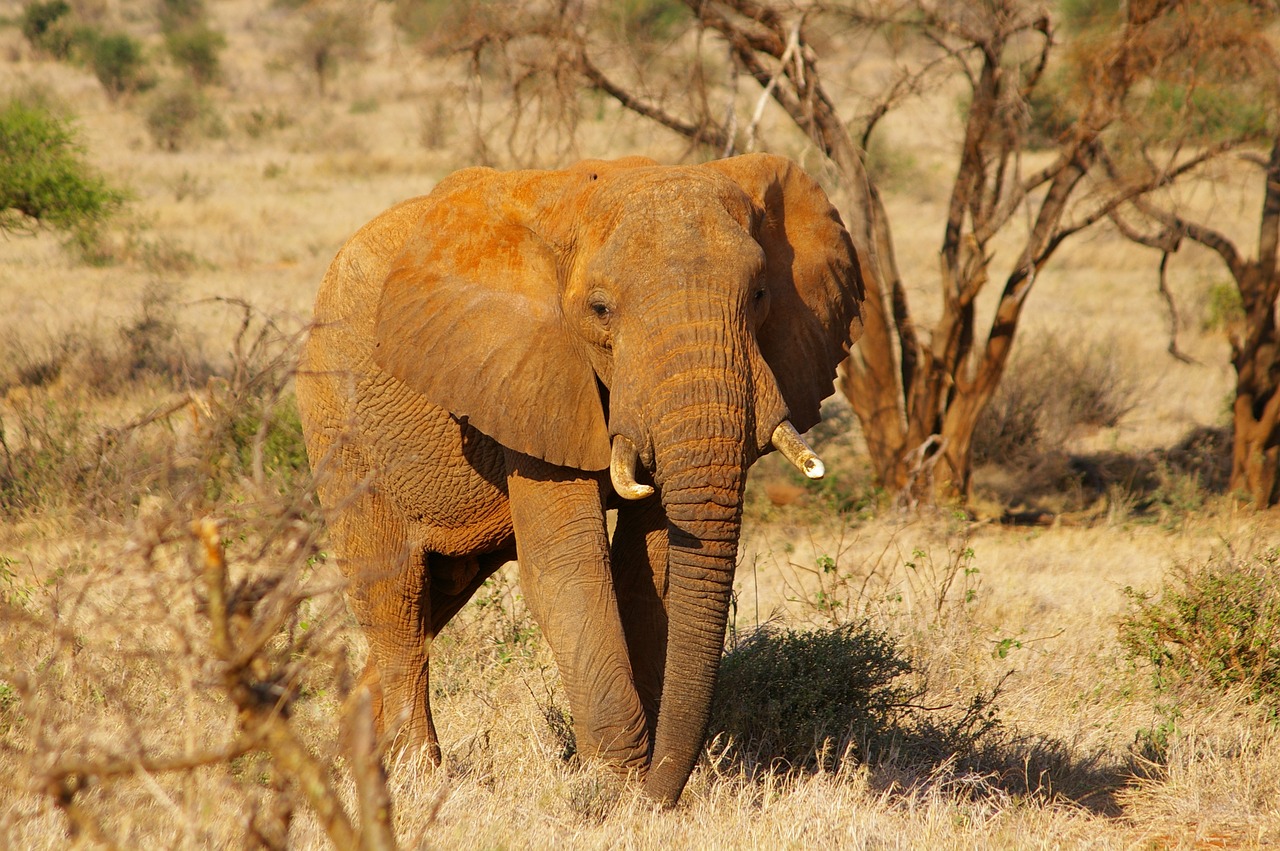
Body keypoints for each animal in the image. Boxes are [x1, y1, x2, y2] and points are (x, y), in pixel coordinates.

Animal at [294, 154, 865, 803]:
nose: (659, 796)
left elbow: (652, 566)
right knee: (397, 597)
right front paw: (612, 789)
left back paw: (357, 757)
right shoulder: (527, 374)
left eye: (762, 294)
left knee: (439, 592)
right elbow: (568, 567)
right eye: (599, 309)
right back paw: (416, 777)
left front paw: (627, 785)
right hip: (338, 425)